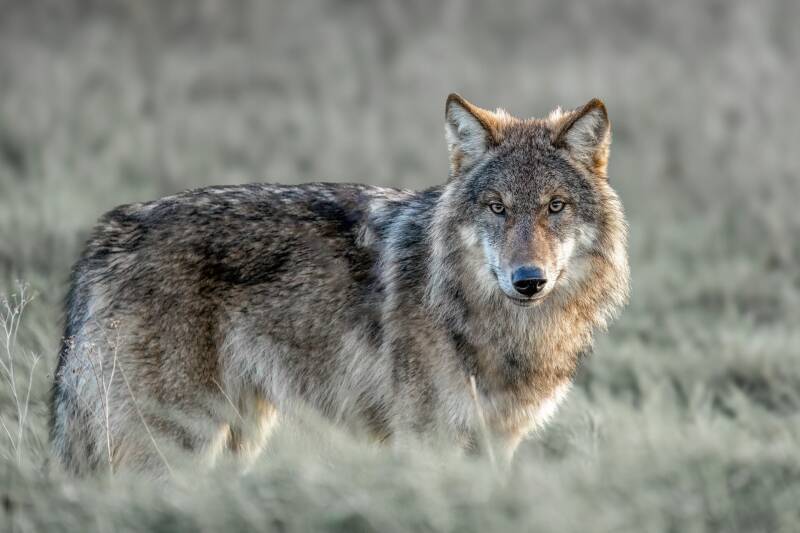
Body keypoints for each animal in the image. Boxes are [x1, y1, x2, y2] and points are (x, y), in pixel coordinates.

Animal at [50, 94, 629, 475]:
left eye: (555, 206)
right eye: (497, 208)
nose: (528, 280)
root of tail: (111, 231)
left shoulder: (497, 444)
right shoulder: (428, 441)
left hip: (238, 436)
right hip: (178, 442)